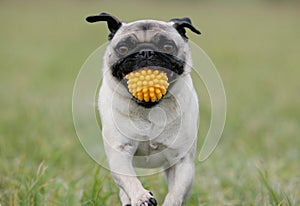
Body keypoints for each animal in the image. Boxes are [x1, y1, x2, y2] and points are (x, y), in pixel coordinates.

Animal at [85, 12, 200, 206]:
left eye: (168, 46)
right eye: (123, 48)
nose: (146, 52)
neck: (148, 109)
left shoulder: (181, 161)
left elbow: (176, 192)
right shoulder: (120, 154)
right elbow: (129, 180)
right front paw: (141, 197)